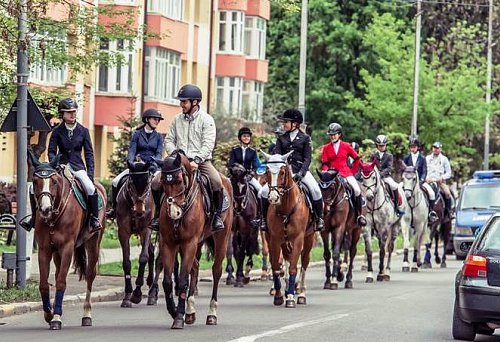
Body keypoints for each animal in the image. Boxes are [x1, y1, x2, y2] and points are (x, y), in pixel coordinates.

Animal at [28, 152, 106, 328]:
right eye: (35, 181)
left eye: (54, 181)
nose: (45, 209)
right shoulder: (45, 249)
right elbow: (44, 284)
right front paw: (49, 314)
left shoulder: (67, 248)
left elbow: (62, 282)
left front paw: (56, 317)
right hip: (56, 252)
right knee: (57, 274)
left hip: (94, 242)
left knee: (90, 275)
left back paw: (86, 315)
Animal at [115, 158, 158, 308]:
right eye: (132, 183)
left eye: (147, 184)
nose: (140, 211)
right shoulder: (123, 231)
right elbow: (126, 262)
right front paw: (127, 296)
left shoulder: (146, 230)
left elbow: (143, 258)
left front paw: (137, 294)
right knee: (151, 252)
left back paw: (152, 293)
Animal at [158, 151, 232, 328]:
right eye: (163, 181)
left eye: (179, 181)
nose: (174, 213)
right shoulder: (168, 244)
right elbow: (167, 282)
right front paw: (174, 311)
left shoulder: (189, 242)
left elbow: (183, 280)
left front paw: (178, 317)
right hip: (197, 243)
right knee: (196, 268)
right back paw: (190, 312)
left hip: (221, 239)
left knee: (216, 271)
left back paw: (212, 314)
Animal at [260, 152, 314, 308]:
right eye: (267, 171)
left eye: (282, 172)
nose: (273, 198)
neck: (285, 208)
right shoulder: (274, 239)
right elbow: (276, 267)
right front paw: (279, 295)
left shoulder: (298, 239)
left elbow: (294, 267)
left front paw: (290, 297)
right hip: (284, 241)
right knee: (287, 258)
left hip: (309, 238)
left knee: (304, 262)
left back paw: (301, 293)